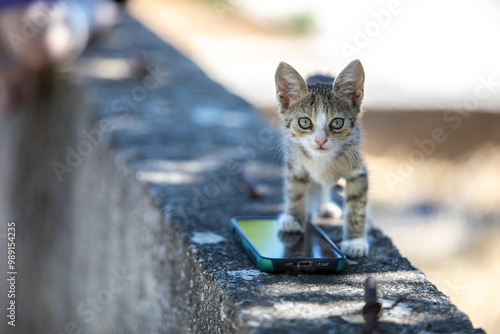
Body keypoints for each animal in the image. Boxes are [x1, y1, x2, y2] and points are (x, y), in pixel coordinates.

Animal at [276, 59, 370, 258]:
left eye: (337, 123)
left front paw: (355, 241)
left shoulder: (357, 169)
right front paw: (294, 218)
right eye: (304, 122)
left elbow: (357, 205)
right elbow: (294, 189)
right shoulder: (295, 160)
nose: (320, 140)